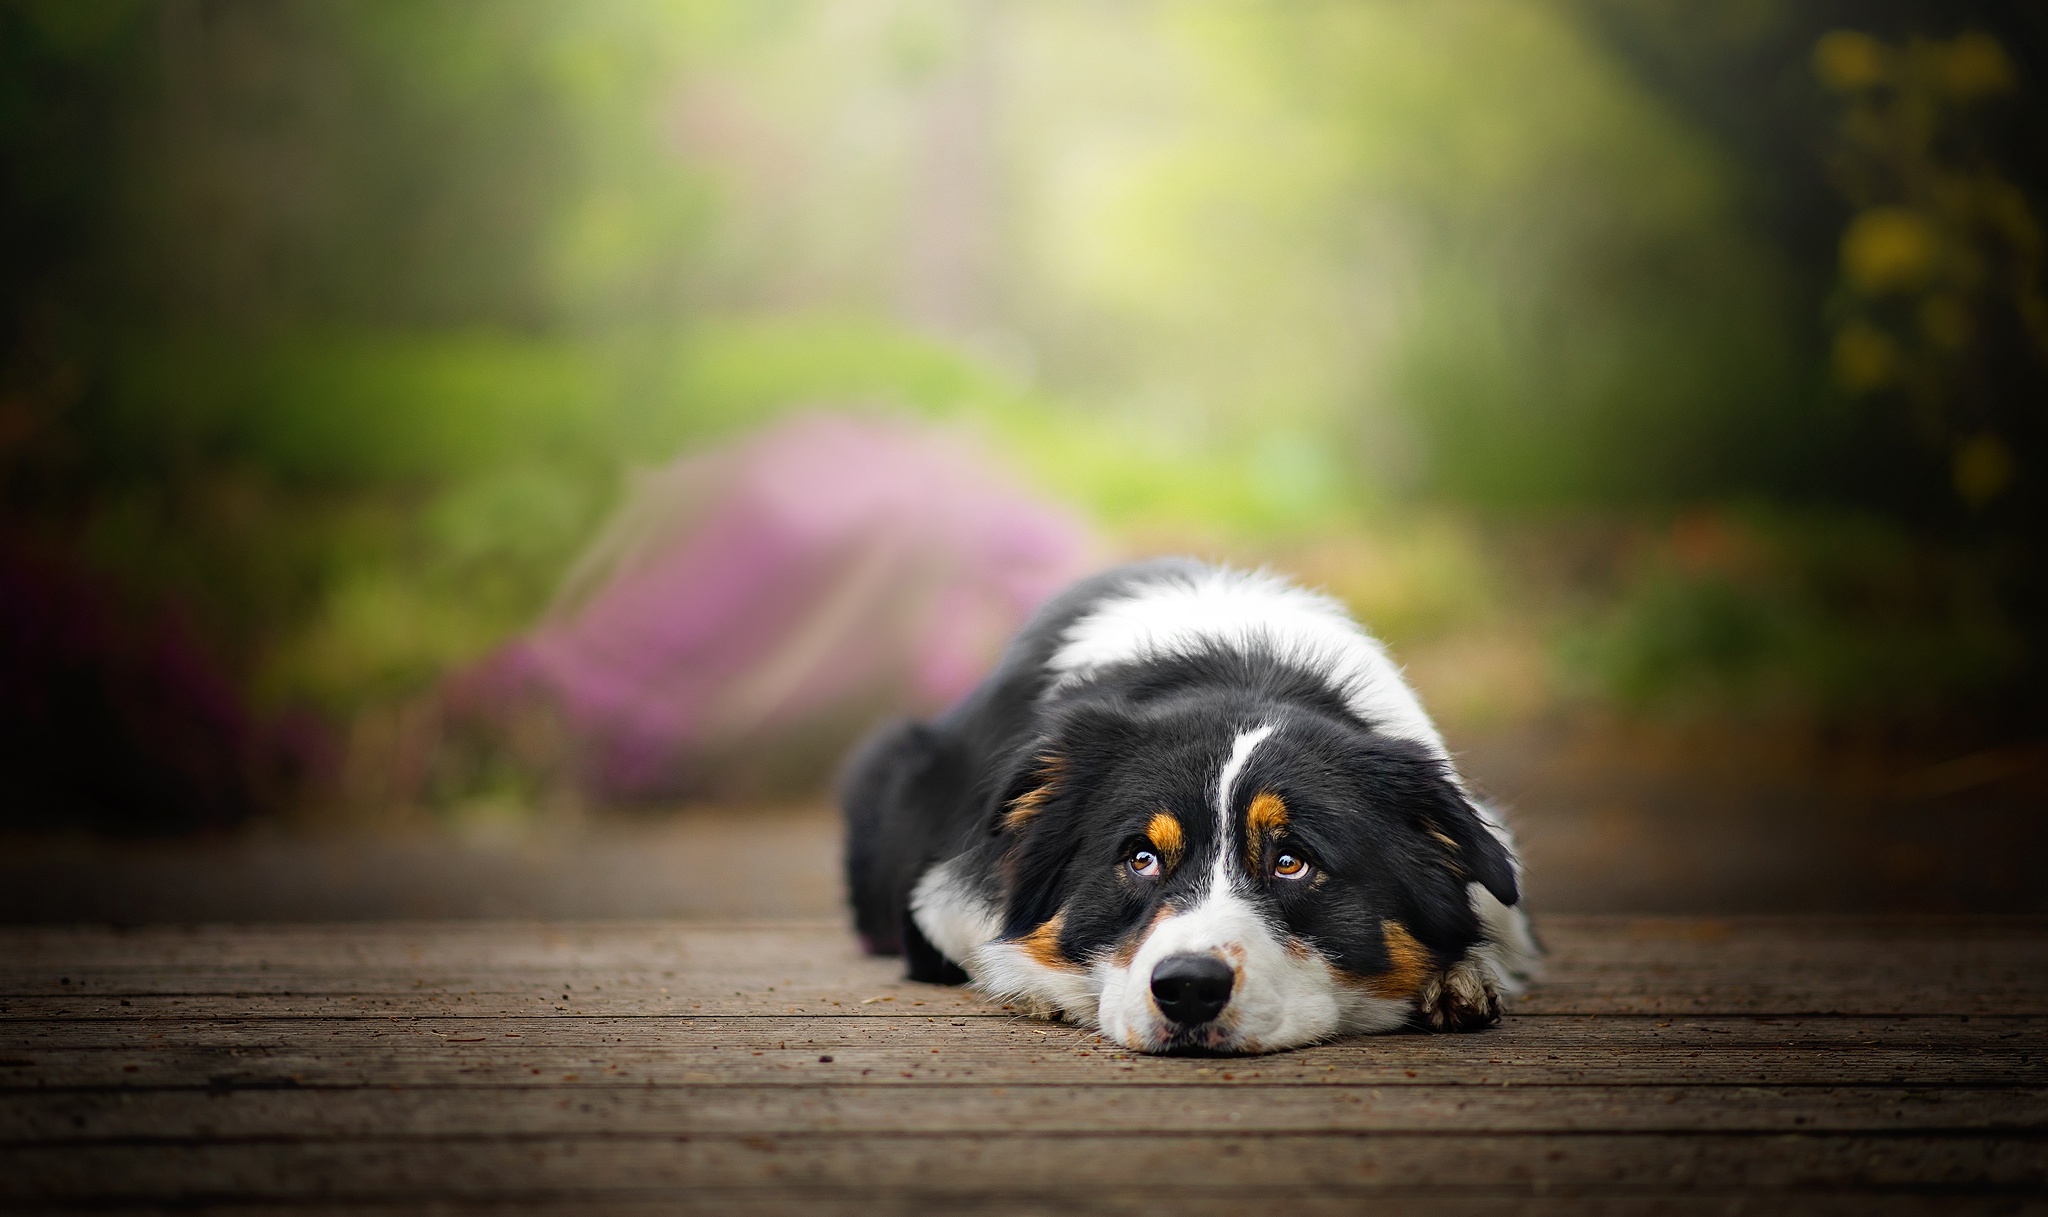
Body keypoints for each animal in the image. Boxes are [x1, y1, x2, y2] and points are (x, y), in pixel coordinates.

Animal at [839, 553, 1531, 1048]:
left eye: (1292, 862)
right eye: (1141, 858)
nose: (1190, 989)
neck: (1241, 675)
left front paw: (1463, 975)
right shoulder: (937, 895)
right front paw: (1033, 984)